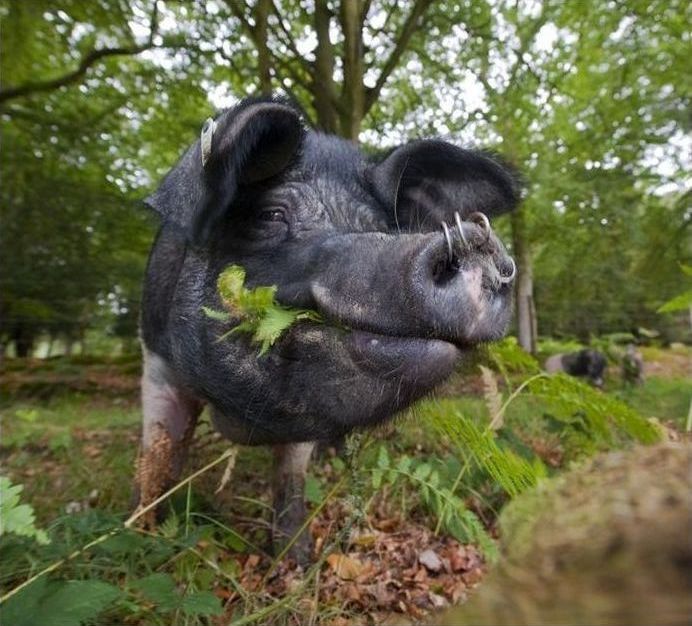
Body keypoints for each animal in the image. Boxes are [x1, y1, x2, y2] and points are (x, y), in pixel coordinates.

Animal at [137, 96, 520, 560]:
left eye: (381, 228)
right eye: (270, 214)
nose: (474, 239)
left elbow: (291, 475)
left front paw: (296, 558)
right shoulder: (156, 360)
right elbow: (160, 454)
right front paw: (143, 534)